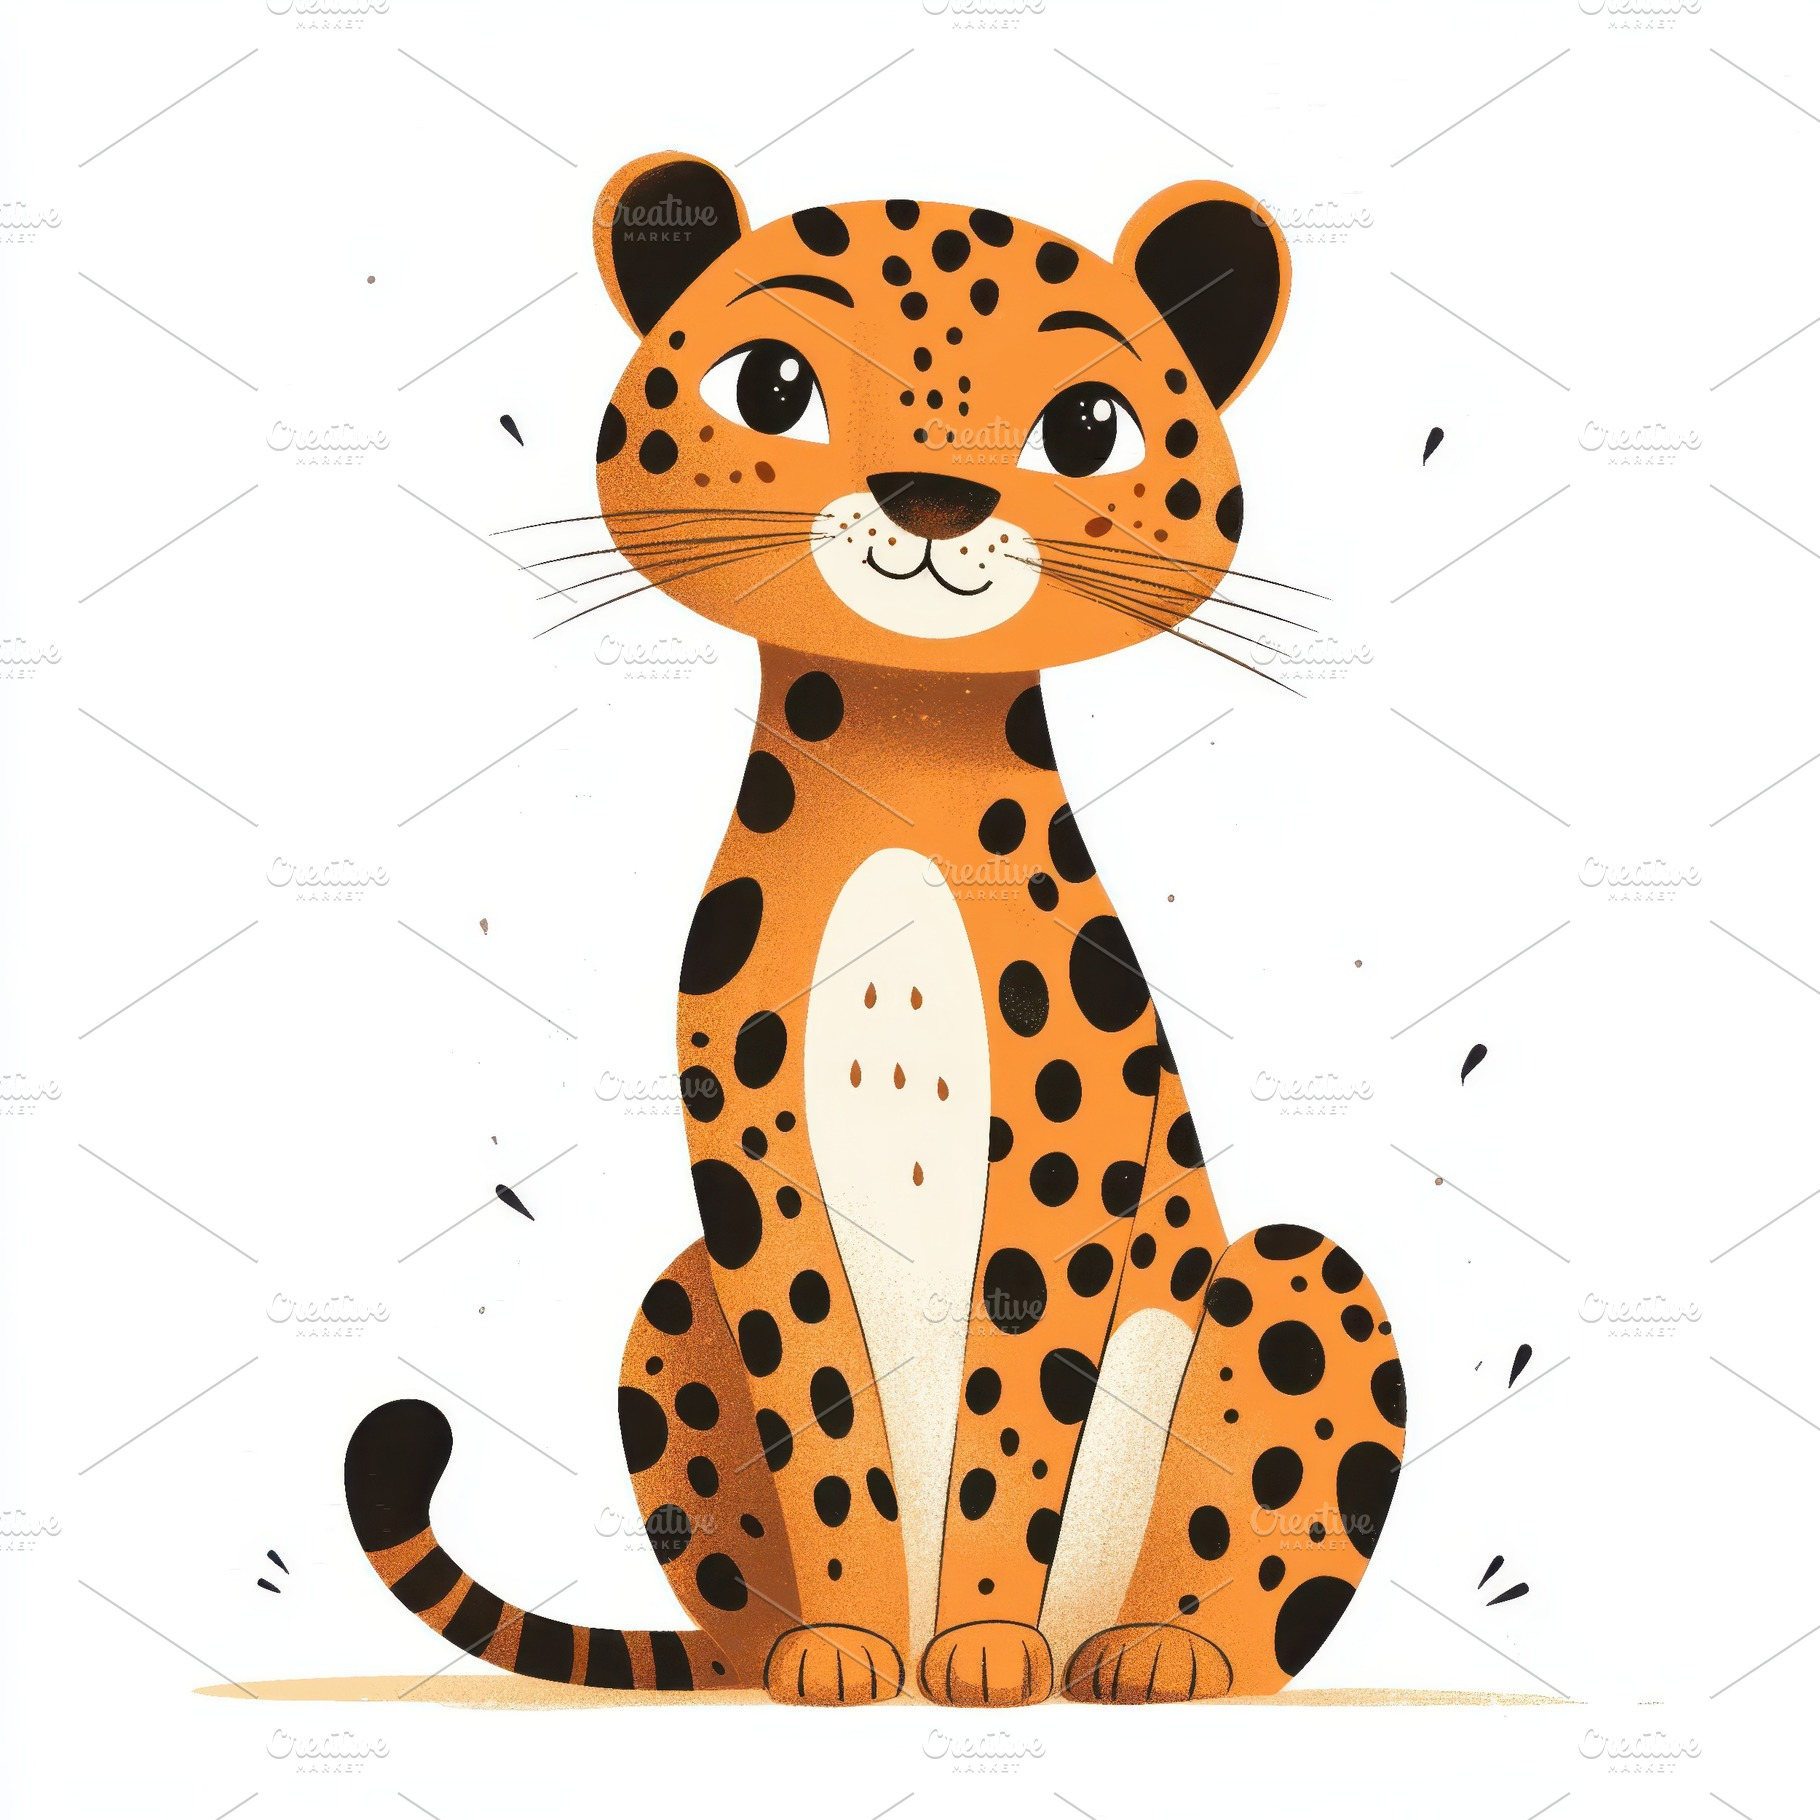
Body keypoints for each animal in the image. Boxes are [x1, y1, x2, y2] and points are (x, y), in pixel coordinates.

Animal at [344, 151, 1406, 1706]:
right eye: (773, 383)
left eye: (1085, 424)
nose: (932, 495)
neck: (900, 758)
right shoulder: (752, 1164)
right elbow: (827, 1412)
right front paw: (852, 1643)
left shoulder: (1063, 1174)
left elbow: (1009, 1425)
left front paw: (977, 1645)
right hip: (678, 1298)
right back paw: (800, 1642)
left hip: (1282, 1276)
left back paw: (1153, 1647)